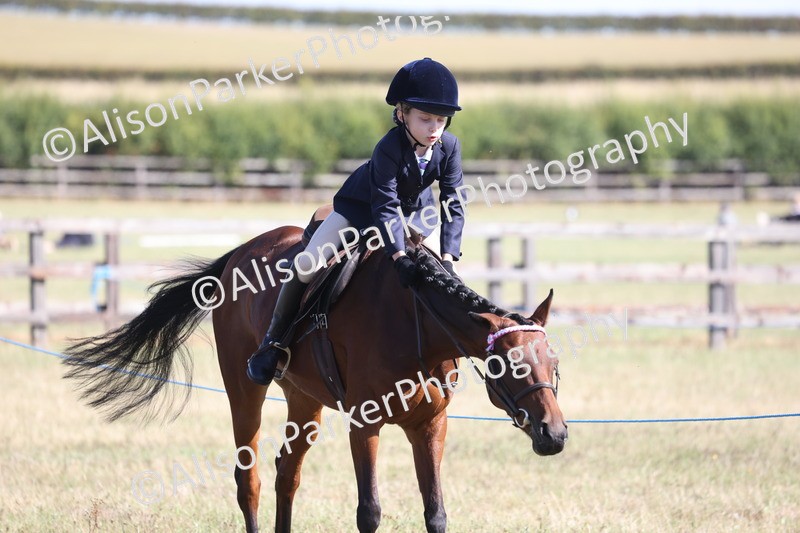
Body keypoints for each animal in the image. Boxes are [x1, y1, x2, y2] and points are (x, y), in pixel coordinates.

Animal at [63, 224, 568, 533]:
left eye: (554, 366)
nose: (555, 434)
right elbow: (369, 511)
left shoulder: (430, 426)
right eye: (510, 365)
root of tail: (238, 254)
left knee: (287, 471)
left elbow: (436, 512)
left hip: (304, 400)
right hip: (244, 389)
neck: (418, 323)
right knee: (249, 479)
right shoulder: (365, 423)